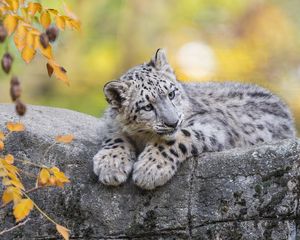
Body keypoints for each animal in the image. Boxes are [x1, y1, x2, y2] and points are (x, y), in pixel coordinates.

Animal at [93, 48, 296, 189]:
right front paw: (110, 165)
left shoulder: (213, 126)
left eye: (171, 93)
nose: (173, 122)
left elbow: (179, 137)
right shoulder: (110, 124)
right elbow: (115, 136)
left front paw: (149, 169)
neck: (143, 136)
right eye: (147, 107)